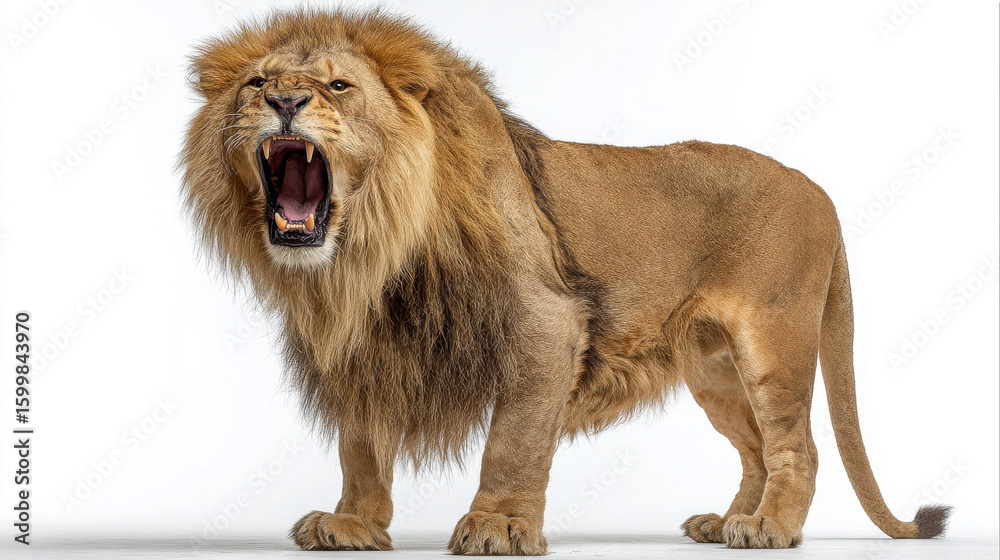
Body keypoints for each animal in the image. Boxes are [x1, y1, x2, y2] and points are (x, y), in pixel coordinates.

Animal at [180, 8, 951, 554]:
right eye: (256, 83)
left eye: (338, 85)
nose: (282, 101)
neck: (370, 251)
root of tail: (820, 190)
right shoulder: (365, 347)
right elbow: (361, 446)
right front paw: (354, 525)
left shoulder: (545, 320)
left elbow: (515, 438)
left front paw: (498, 526)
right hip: (712, 368)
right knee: (757, 449)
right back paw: (729, 522)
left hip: (774, 342)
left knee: (796, 446)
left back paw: (771, 529)